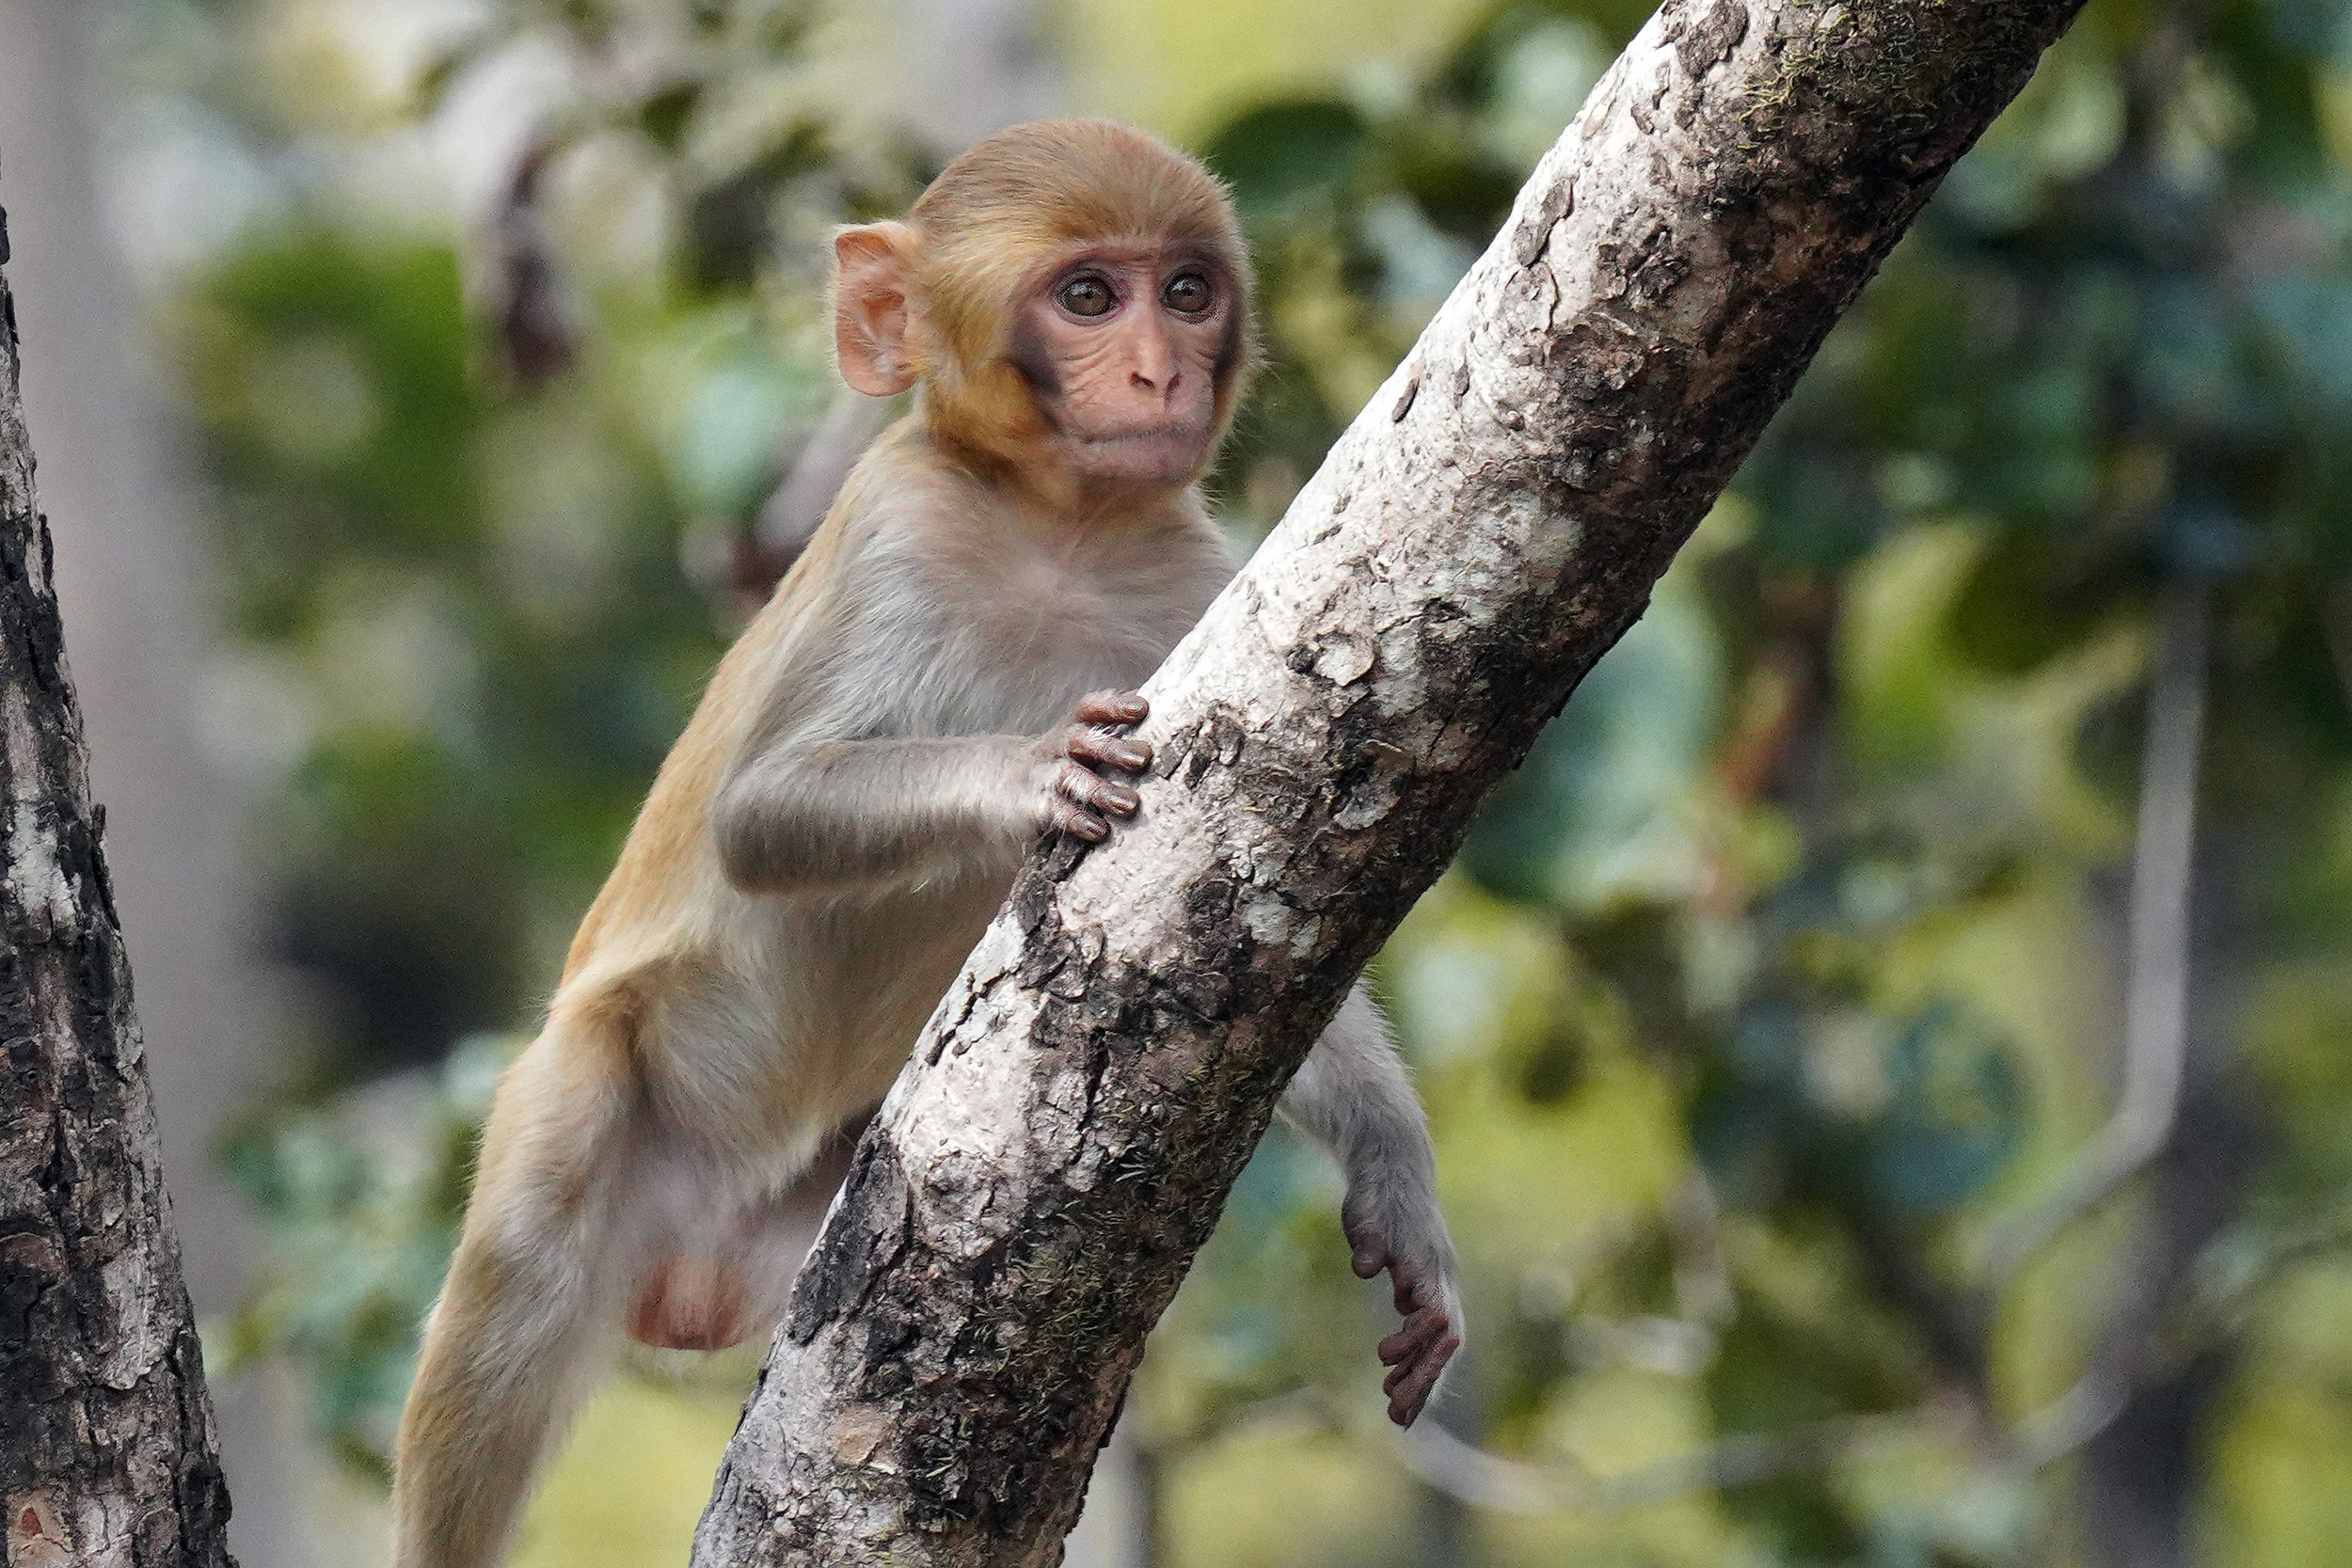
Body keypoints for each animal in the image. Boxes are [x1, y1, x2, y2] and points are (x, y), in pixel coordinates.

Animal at [390, 118, 1461, 1568]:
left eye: (1186, 291)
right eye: (1088, 297)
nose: (1160, 370)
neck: (1057, 529)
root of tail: (692, 1269)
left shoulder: (1194, 581)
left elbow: (1270, 897)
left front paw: (1394, 1169)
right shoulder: (896, 524)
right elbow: (758, 817)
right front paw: (1027, 770)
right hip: (614, 1092)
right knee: (529, 1254)